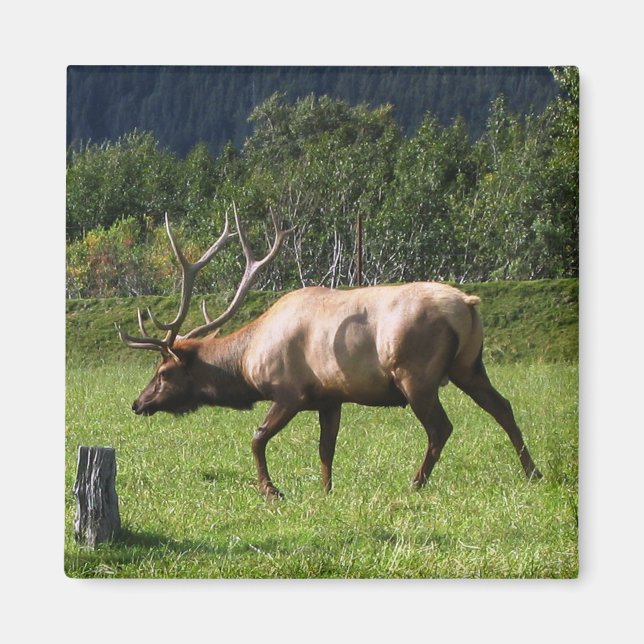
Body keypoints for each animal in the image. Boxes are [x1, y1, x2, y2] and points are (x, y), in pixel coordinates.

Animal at [118, 206, 542, 499]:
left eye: (163, 372)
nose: (138, 403)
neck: (249, 361)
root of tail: (468, 304)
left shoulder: (289, 392)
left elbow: (257, 438)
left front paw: (271, 490)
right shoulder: (330, 397)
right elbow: (327, 449)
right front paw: (325, 490)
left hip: (415, 374)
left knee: (441, 427)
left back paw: (415, 483)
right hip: (470, 365)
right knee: (502, 407)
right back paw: (532, 472)